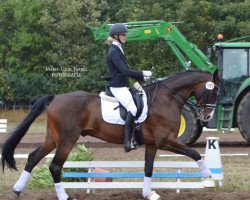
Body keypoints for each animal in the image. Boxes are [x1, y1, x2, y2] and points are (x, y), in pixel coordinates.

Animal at [0, 69, 219, 200]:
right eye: (213, 91)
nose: (207, 117)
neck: (167, 99)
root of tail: (55, 98)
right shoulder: (165, 141)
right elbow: (194, 153)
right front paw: (208, 178)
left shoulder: (152, 144)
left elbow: (148, 168)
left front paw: (148, 194)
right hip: (67, 140)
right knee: (55, 166)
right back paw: (64, 197)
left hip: (53, 139)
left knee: (33, 157)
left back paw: (17, 190)